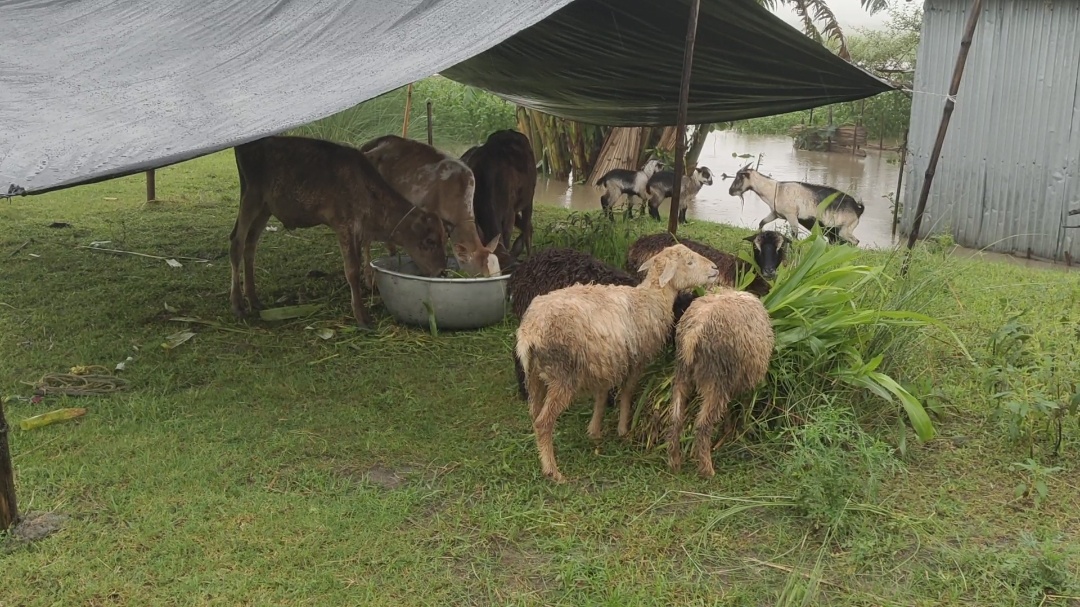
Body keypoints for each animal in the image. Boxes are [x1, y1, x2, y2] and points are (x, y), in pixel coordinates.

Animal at [227, 135, 447, 328]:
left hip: (265, 207)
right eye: (430, 241)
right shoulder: (345, 226)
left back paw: (254, 299)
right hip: (251, 197)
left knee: (250, 244)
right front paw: (361, 317)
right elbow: (351, 270)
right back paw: (238, 305)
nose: (441, 271)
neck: (367, 190)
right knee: (237, 242)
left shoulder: (357, 232)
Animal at [511, 241, 717, 481]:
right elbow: (627, 391)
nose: (715, 269)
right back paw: (553, 471)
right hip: (563, 374)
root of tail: (530, 331)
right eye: (690, 262)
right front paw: (623, 429)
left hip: (534, 374)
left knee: (535, 414)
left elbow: (601, 394)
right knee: (543, 422)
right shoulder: (637, 360)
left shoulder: (606, 360)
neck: (650, 299)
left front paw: (594, 431)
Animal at [665, 285, 777, 479]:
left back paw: (675, 463)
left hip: (682, 373)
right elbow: (744, 407)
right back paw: (707, 470)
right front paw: (741, 432)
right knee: (703, 425)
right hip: (717, 379)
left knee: (676, 418)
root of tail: (693, 334)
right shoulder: (746, 380)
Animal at [730, 163, 864, 246]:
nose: (730, 191)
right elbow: (762, 222)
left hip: (845, 229)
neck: (776, 190)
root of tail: (857, 209)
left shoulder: (792, 215)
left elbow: (794, 234)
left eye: (739, 177)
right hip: (834, 231)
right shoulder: (775, 214)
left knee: (855, 241)